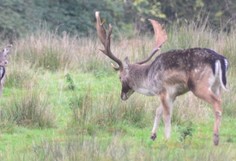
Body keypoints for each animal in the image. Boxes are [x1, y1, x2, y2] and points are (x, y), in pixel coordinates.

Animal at [94, 11, 229, 145]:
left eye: (120, 77)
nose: (122, 96)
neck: (149, 78)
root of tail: (220, 59)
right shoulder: (173, 94)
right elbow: (158, 111)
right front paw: (153, 135)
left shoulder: (163, 90)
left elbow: (167, 114)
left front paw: (167, 138)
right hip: (217, 86)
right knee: (220, 100)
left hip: (199, 85)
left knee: (217, 102)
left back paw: (216, 138)